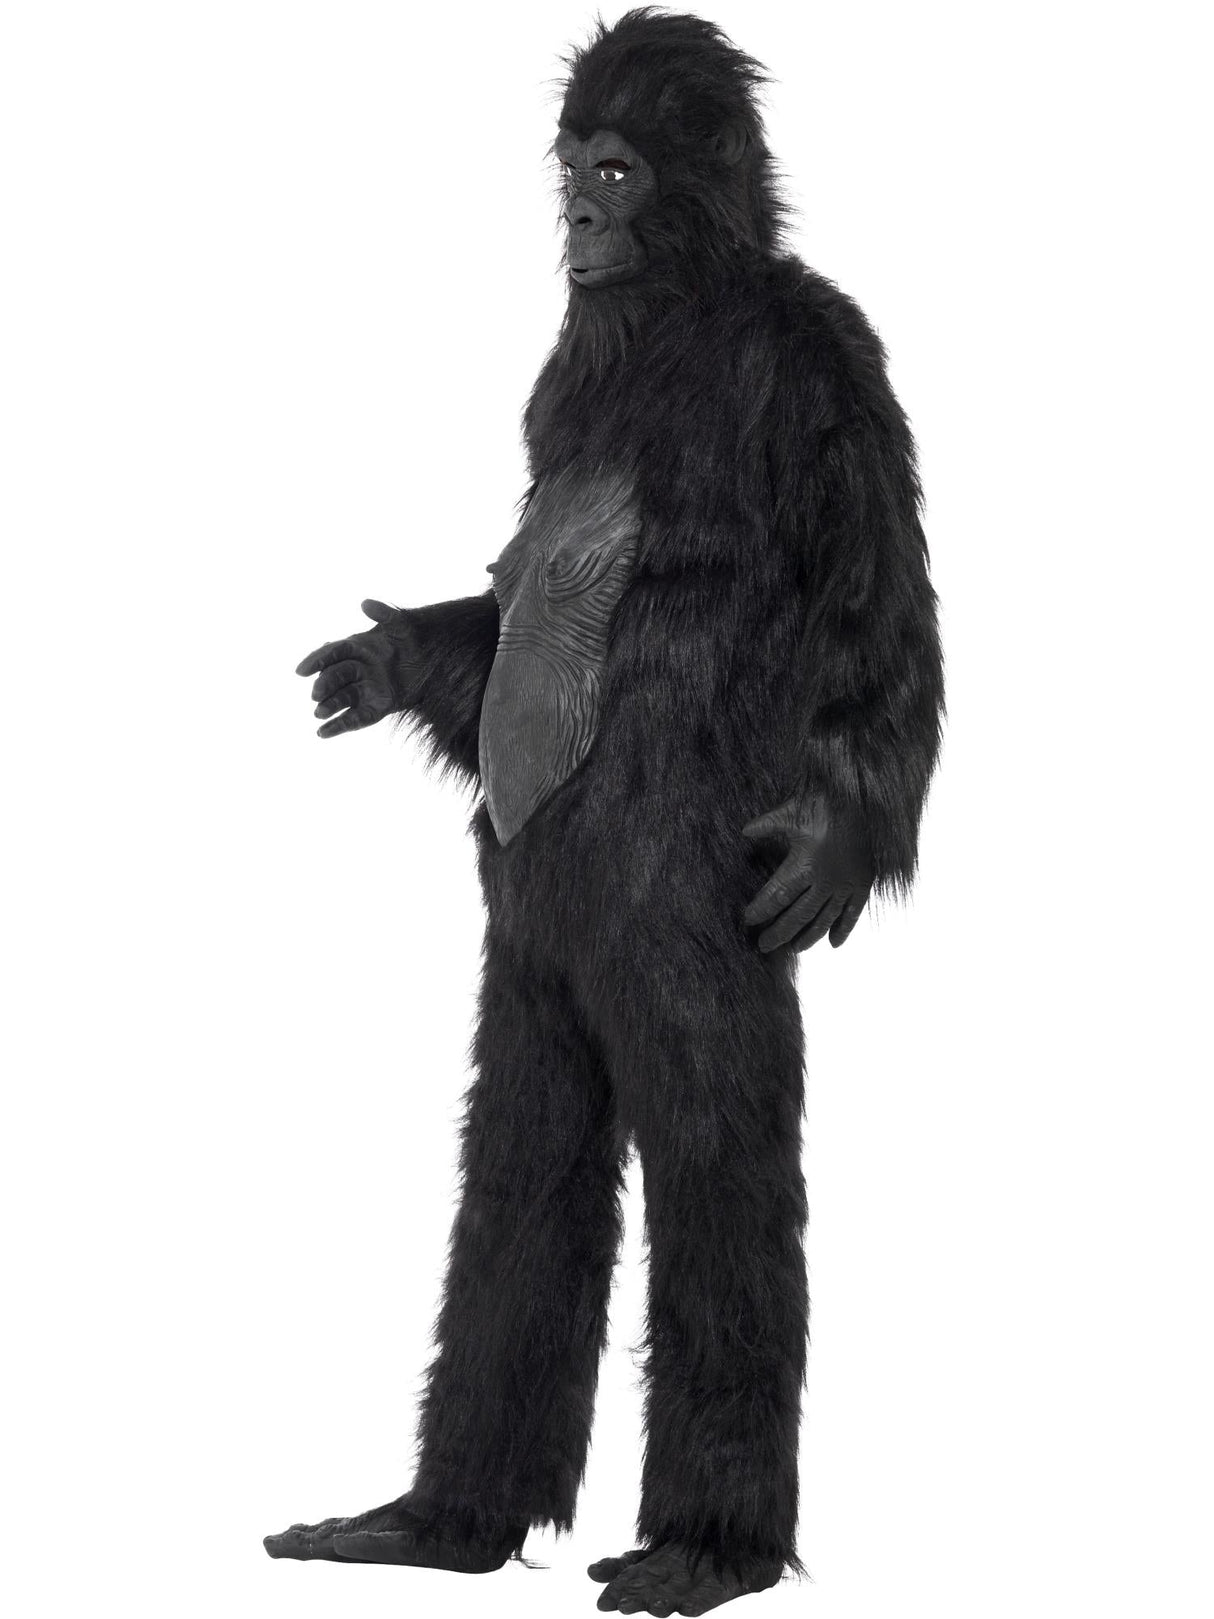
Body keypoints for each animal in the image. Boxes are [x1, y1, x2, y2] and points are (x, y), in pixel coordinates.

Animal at [264, 11, 943, 1615]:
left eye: (621, 172)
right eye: (574, 165)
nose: (576, 217)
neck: (682, 313)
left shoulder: (830, 369)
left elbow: (878, 624)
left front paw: (828, 845)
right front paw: (385, 663)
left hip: (670, 944)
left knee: (716, 1162)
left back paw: (705, 1548)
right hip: (537, 967)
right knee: (523, 1154)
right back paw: (438, 1521)